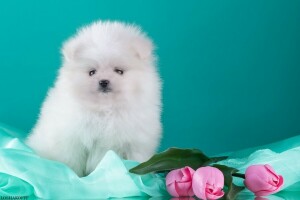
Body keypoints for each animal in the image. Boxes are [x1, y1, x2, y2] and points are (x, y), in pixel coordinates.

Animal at [25, 20, 162, 177]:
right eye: (92, 72)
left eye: (119, 71)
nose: (103, 81)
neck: (106, 109)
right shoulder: (73, 142)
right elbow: (72, 163)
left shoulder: (135, 143)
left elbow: (135, 161)